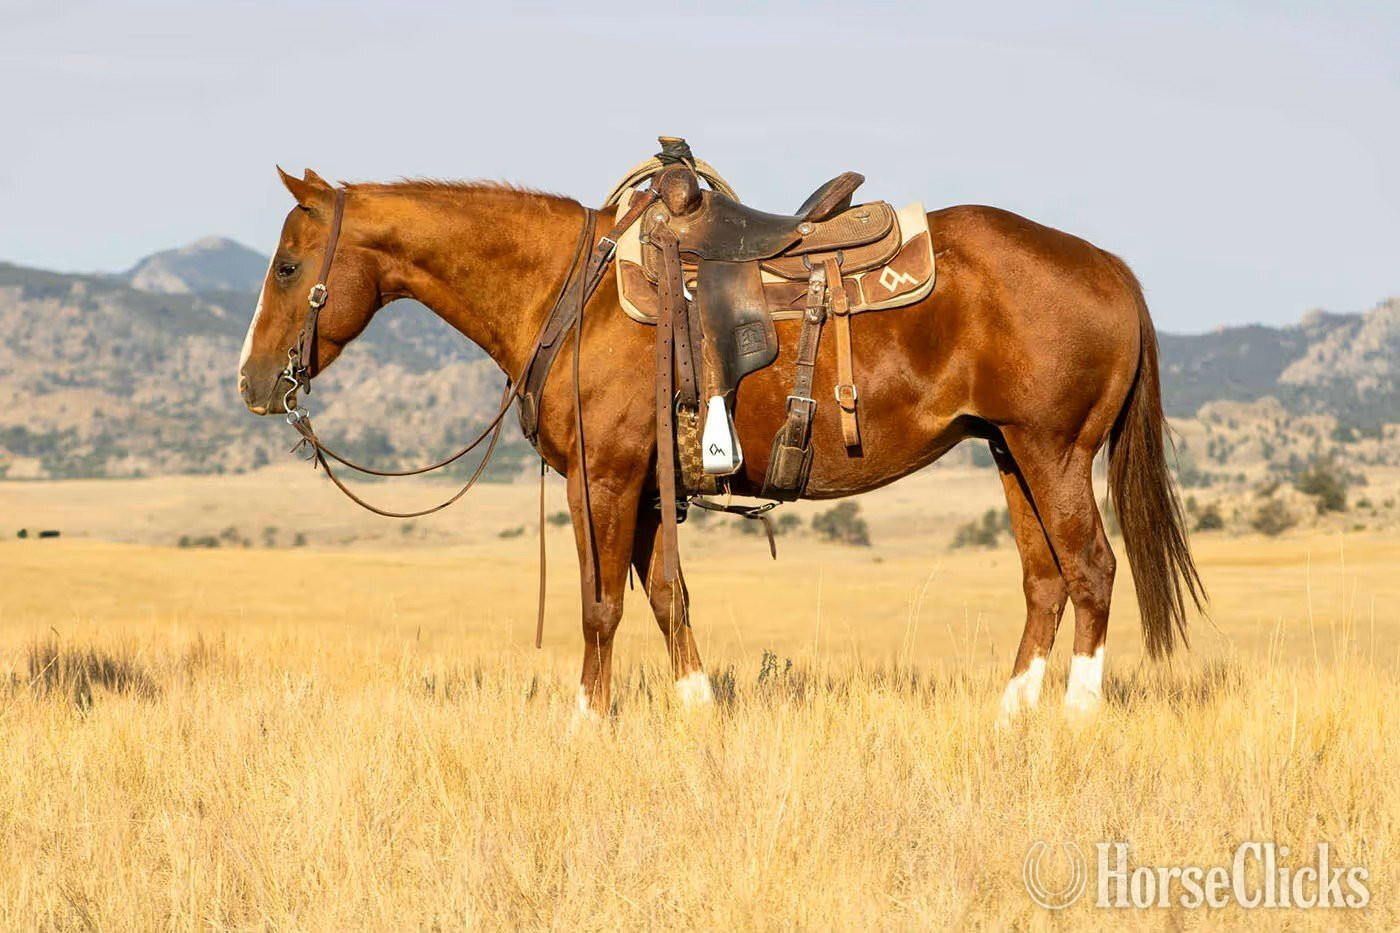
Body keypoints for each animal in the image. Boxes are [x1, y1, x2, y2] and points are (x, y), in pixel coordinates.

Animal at [237, 166, 1205, 725]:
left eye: (287, 267)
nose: (252, 383)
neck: (571, 290)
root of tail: (1112, 268)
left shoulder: (604, 478)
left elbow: (601, 605)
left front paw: (586, 724)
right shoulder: (650, 486)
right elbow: (668, 596)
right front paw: (698, 709)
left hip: (1054, 451)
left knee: (1092, 570)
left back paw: (1076, 717)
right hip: (1012, 452)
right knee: (1046, 580)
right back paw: (1011, 716)